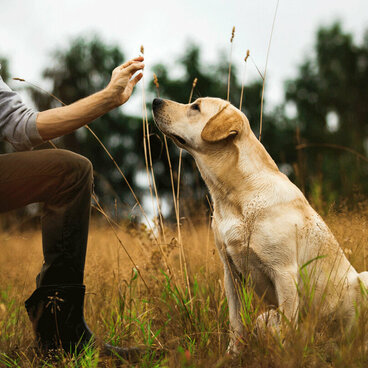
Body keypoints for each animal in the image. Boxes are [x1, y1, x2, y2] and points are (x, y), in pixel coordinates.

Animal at [151, 96, 366, 352]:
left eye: (195, 107)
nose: (155, 101)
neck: (234, 196)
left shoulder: (284, 272)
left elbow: (287, 328)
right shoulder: (231, 273)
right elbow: (235, 322)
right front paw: (232, 354)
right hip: (264, 317)